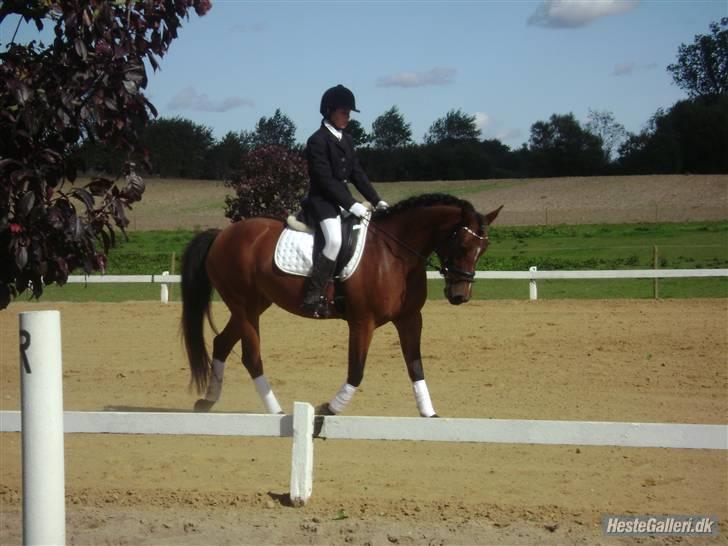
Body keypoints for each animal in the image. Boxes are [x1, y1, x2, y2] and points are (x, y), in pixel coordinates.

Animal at [180, 193, 502, 417]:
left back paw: (207, 400)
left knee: (222, 343)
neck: (395, 254)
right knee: (251, 356)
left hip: (254, 304)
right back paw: (275, 411)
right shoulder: (362, 322)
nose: (460, 295)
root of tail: (222, 234)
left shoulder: (410, 318)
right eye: (462, 245)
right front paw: (329, 408)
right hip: (245, 306)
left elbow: (416, 366)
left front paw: (430, 414)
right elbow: (356, 371)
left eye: (483, 248)